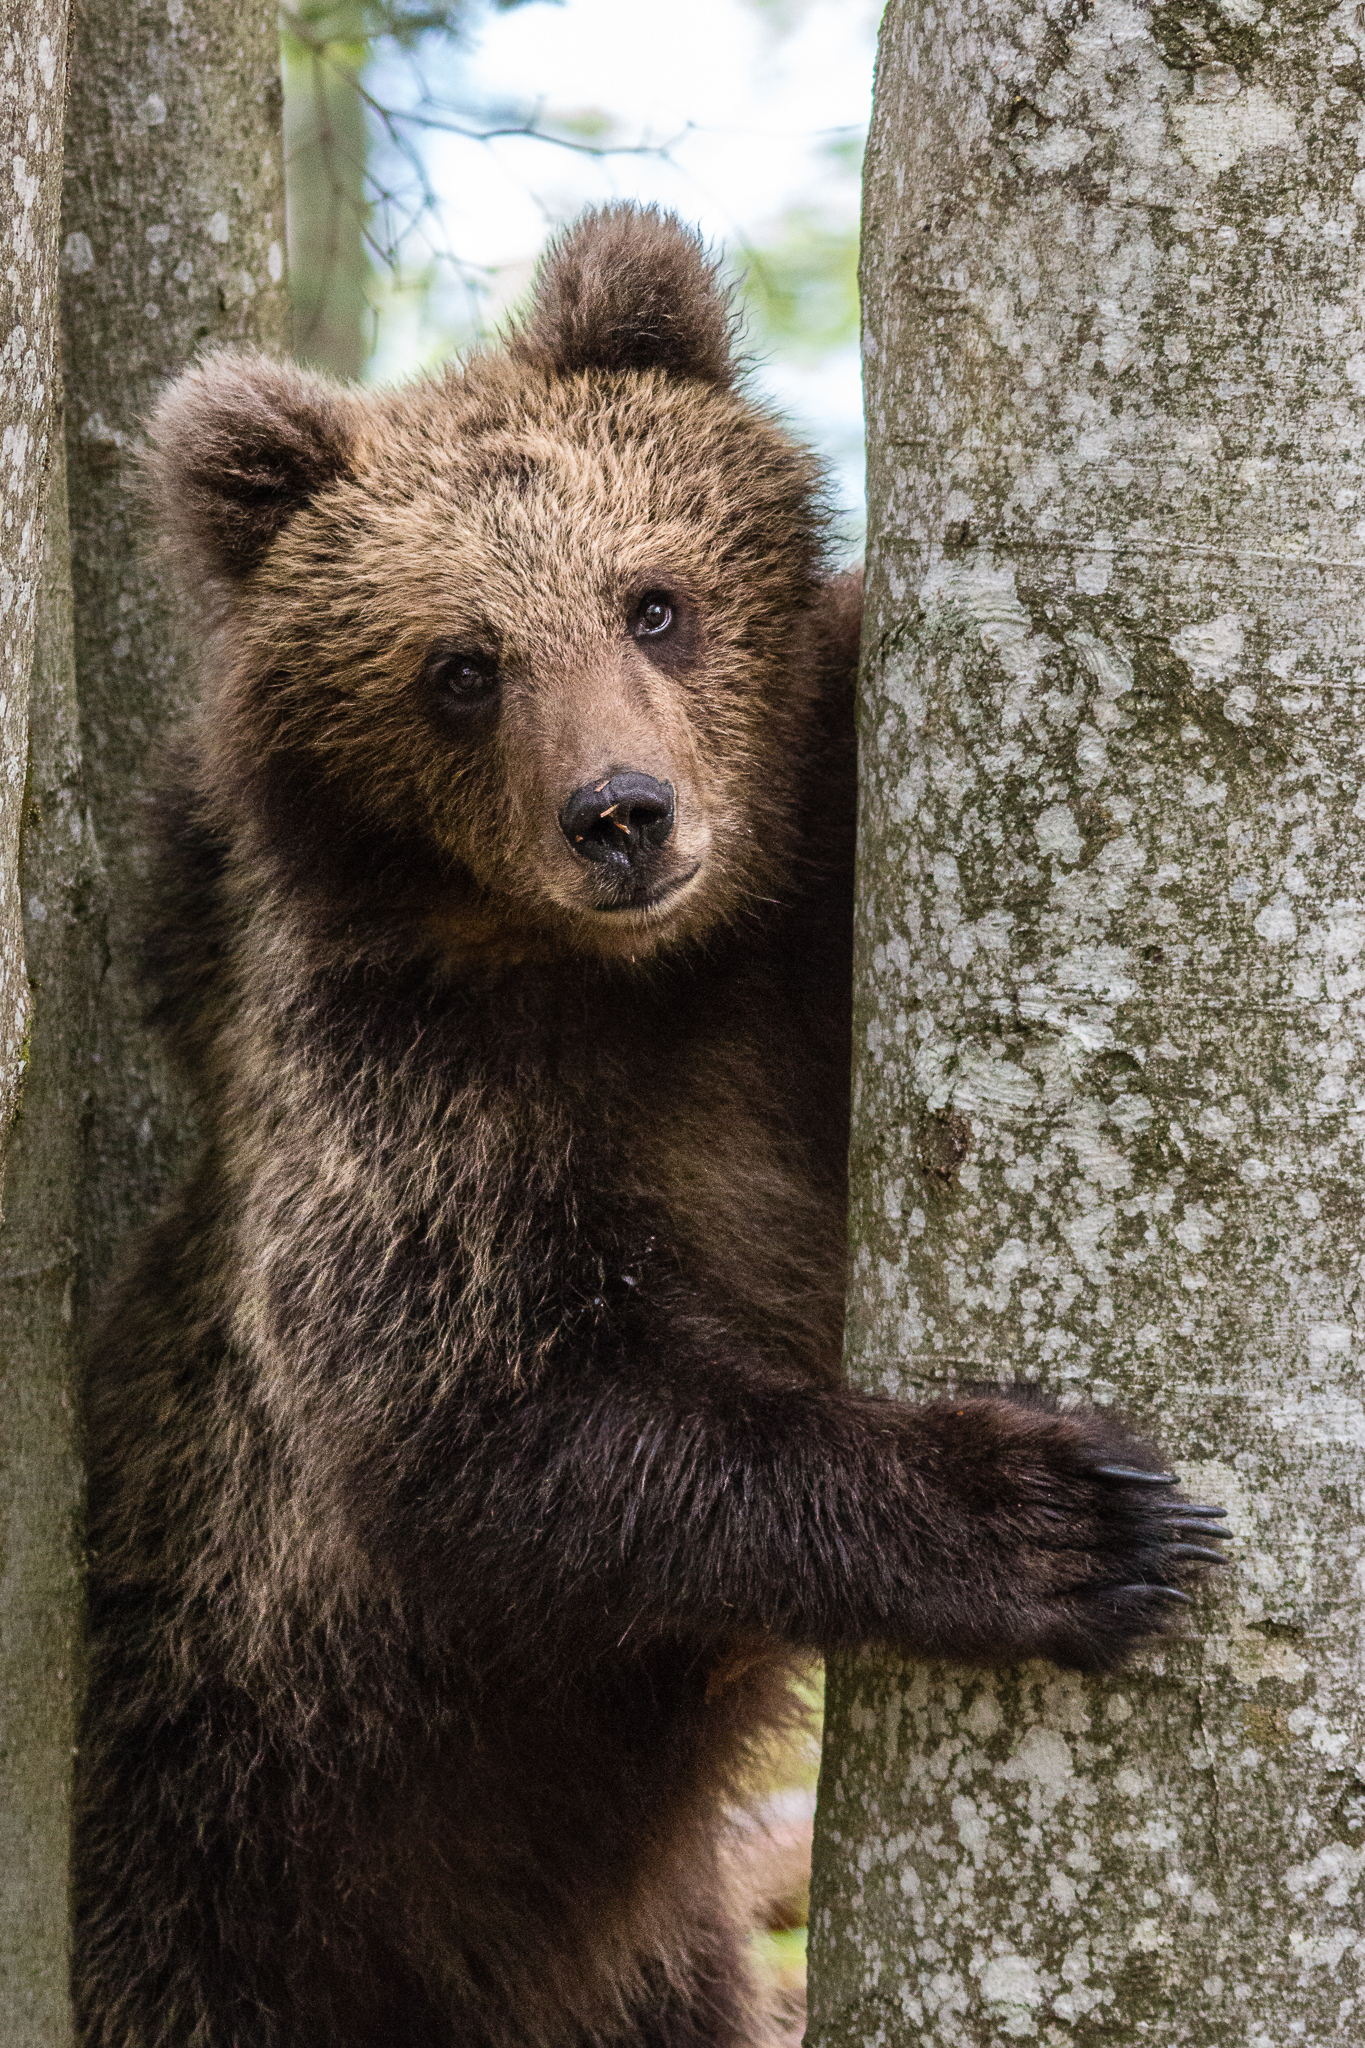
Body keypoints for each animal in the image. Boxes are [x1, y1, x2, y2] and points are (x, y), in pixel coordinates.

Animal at [73, 205, 1227, 2048]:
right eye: (462, 666)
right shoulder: (413, 1102)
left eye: (657, 599)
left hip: (638, 1960)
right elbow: (493, 1418)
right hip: (198, 1874)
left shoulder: (790, 969)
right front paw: (1072, 1515)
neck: (639, 984)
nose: (622, 813)